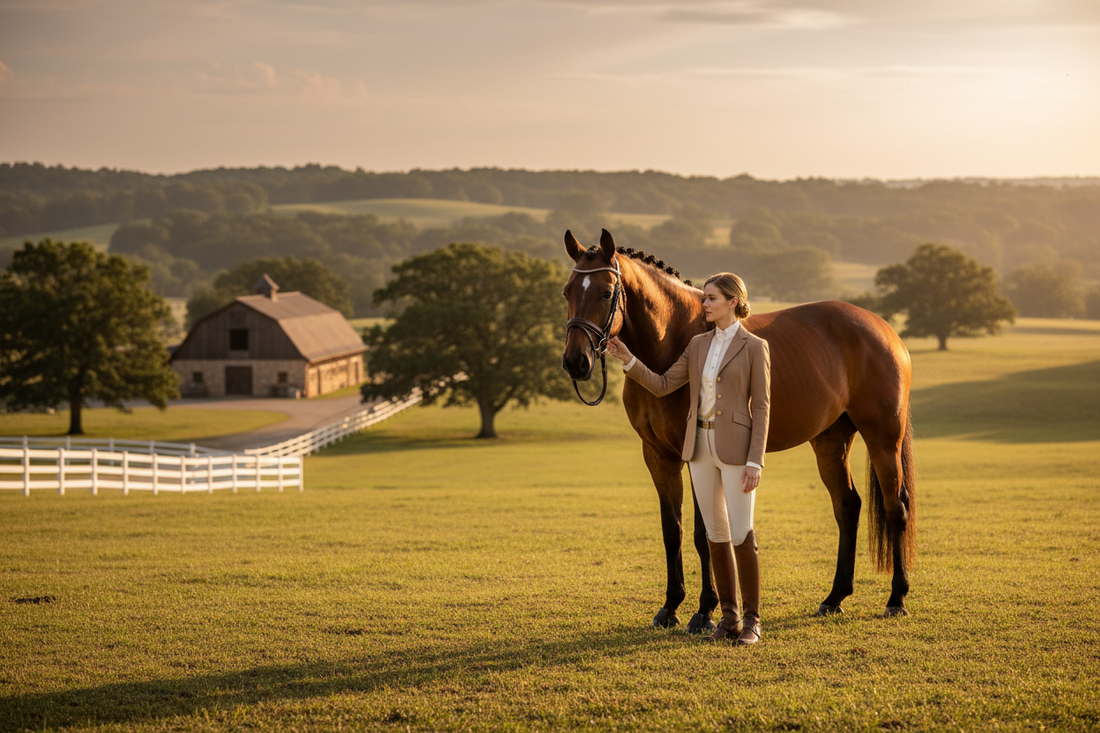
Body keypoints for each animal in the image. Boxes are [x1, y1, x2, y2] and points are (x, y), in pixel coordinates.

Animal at [561, 229, 916, 629]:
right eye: (567, 291)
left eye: (606, 292)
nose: (576, 362)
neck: (671, 342)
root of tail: (885, 330)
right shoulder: (658, 456)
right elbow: (672, 531)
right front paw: (670, 607)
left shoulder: (696, 456)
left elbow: (704, 533)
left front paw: (704, 610)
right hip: (831, 442)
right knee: (847, 507)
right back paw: (834, 597)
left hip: (883, 439)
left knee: (896, 507)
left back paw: (897, 598)